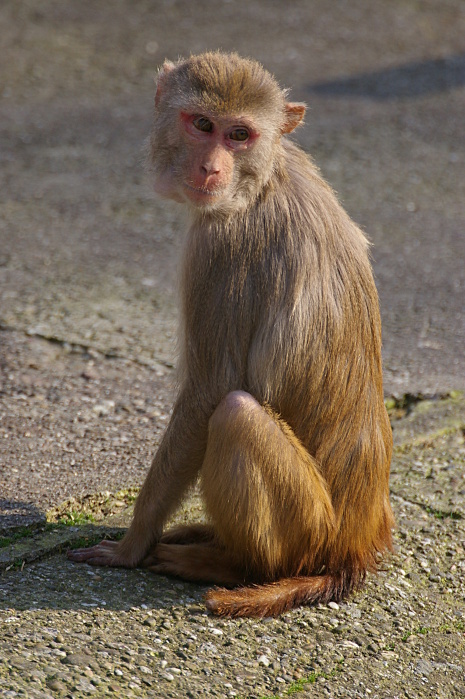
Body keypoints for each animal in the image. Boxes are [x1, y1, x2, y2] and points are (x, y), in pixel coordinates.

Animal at [69, 50, 394, 616]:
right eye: (203, 125)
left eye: (239, 134)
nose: (211, 166)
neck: (260, 179)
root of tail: (351, 549)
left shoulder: (222, 249)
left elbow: (209, 392)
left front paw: (131, 545)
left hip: (308, 530)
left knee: (235, 413)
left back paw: (233, 566)